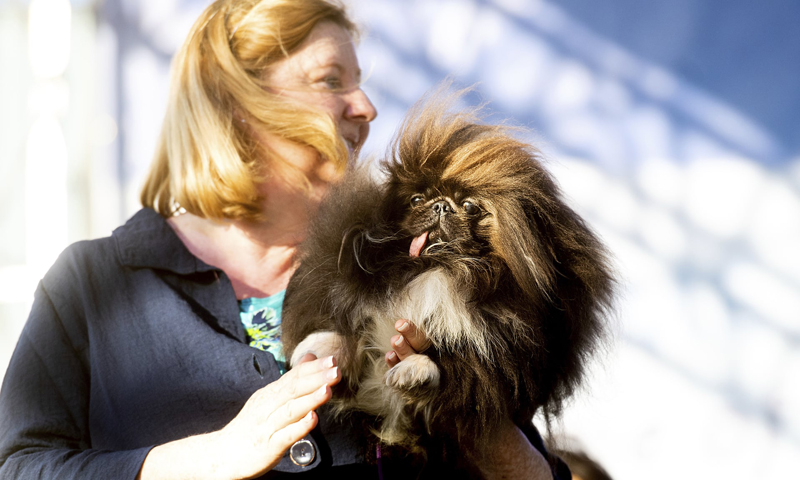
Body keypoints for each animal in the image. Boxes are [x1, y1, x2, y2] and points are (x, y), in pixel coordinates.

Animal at [282, 91, 612, 458]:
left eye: (468, 206)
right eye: (416, 200)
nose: (440, 205)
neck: (439, 269)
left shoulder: (495, 355)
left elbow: (452, 369)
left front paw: (415, 372)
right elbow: (342, 335)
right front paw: (320, 354)